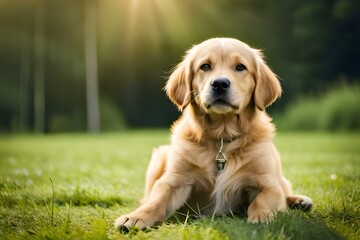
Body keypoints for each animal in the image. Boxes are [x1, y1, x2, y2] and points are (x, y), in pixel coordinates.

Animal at [115, 38, 312, 232]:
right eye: (205, 66)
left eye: (240, 67)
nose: (219, 84)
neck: (222, 139)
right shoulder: (175, 181)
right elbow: (156, 200)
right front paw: (136, 217)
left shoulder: (267, 182)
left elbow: (264, 199)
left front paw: (261, 217)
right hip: (160, 155)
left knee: (285, 188)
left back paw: (300, 200)